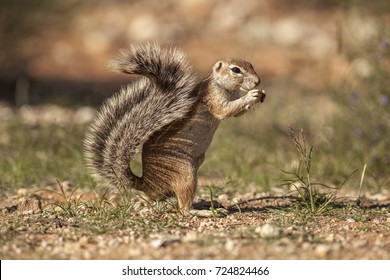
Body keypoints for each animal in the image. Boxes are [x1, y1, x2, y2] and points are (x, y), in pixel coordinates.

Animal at [82, 42, 266, 212]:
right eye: (236, 70)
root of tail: (147, 185)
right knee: (184, 209)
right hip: (185, 173)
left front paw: (260, 94)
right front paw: (252, 95)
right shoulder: (213, 96)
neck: (226, 87)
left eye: (250, 64)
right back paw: (200, 212)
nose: (258, 81)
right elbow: (224, 110)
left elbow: (235, 112)